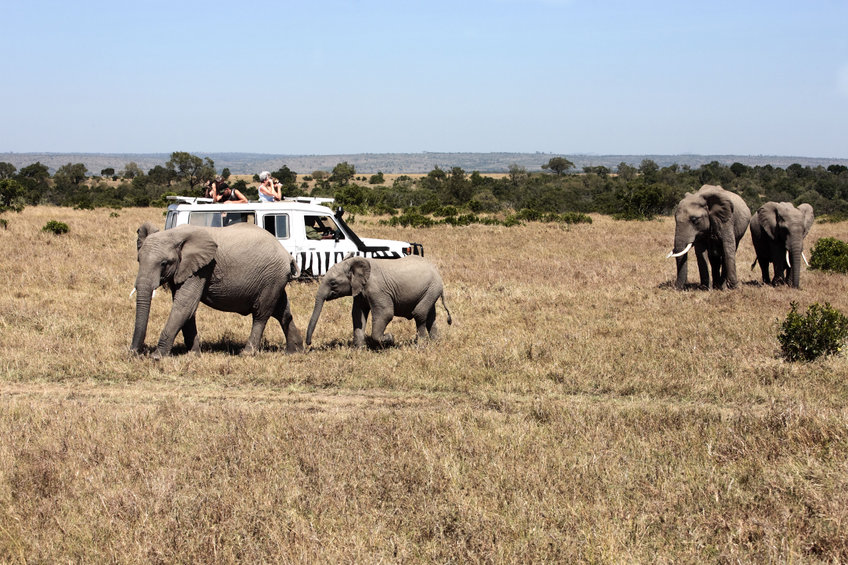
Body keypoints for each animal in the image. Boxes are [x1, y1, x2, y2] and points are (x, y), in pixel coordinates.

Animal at [130, 222, 303, 358]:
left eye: (164, 263)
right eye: (138, 259)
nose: (134, 353)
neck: (174, 234)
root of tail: (288, 255)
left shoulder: (202, 268)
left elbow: (185, 304)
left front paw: (157, 357)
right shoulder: (183, 269)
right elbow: (187, 308)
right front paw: (193, 355)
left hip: (271, 276)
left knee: (261, 314)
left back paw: (247, 353)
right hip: (275, 279)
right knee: (282, 312)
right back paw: (294, 352)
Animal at [305, 255, 452, 348]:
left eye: (333, 283)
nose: (309, 344)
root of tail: (437, 271)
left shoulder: (377, 290)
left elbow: (385, 313)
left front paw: (390, 339)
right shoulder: (360, 291)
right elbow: (357, 315)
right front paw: (359, 350)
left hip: (432, 288)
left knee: (419, 313)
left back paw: (419, 346)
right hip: (430, 290)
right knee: (430, 316)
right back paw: (435, 343)